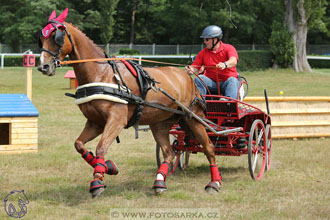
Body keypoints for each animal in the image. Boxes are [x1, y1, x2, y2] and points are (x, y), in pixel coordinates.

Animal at [37, 9, 222, 198]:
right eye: (41, 38)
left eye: (56, 37)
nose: (43, 66)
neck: (102, 73)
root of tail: (187, 76)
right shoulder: (95, 123)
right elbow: (79, 145)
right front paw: (109, 167)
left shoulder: (116, 121)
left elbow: (101, 147)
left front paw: (97, 181)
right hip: (160, 124)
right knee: (169, 152)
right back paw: (159, 182)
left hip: (194, 118)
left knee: (209, 148)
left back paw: (214, 183)